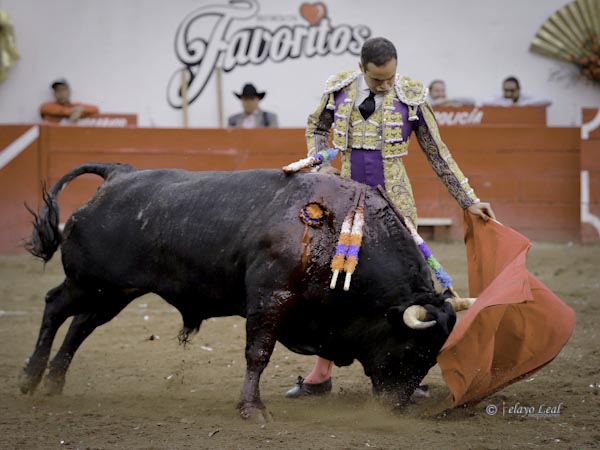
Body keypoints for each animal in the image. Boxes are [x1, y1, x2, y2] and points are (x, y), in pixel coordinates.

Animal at [21, 163, 458, 420]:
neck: (341, 232)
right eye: (412, 347)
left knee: (81, 325)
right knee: (55, 306)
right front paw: (252, 408)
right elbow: (258, 353)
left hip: (113, 290)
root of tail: (117, 174)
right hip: (88, 282)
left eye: (433, 356)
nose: (395, 405)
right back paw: (30, 379)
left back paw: (54, 383)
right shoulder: (269, 299)